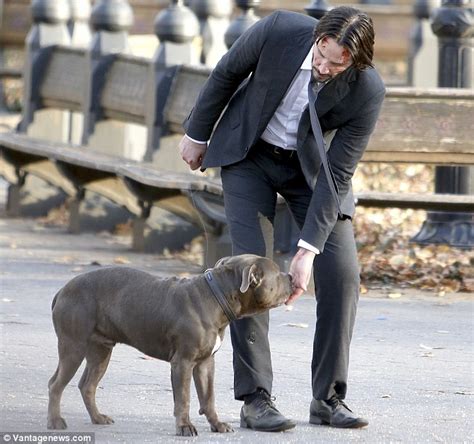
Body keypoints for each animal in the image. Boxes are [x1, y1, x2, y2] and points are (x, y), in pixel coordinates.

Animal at [48, 255, 292, 436]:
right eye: (277, 273)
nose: (290, 275)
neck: (216, 297)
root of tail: (62, 290)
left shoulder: (205, 364)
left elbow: (208, 397)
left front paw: (217, 424)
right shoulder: (182, 362)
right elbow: (183, 399)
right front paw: (184, 427)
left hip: (100, 352)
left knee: (87, 385)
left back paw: (98, 418)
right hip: (73, 346)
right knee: (56, 385)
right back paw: (56, 421)